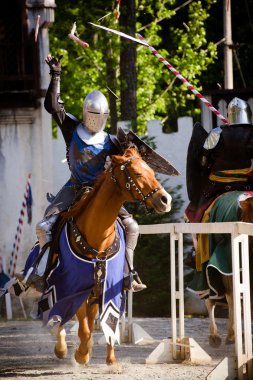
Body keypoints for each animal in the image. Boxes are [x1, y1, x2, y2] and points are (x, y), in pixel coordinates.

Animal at [44, 146, 172, 366]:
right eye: (137, 173)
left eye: (152, 172)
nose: (165, 200)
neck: (98, 238)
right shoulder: (76, 287)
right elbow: (84, 327)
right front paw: (81, 354)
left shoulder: (107, 287)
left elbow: (106, 320)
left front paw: (110, 359)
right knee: (61, 313)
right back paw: (61, 345)